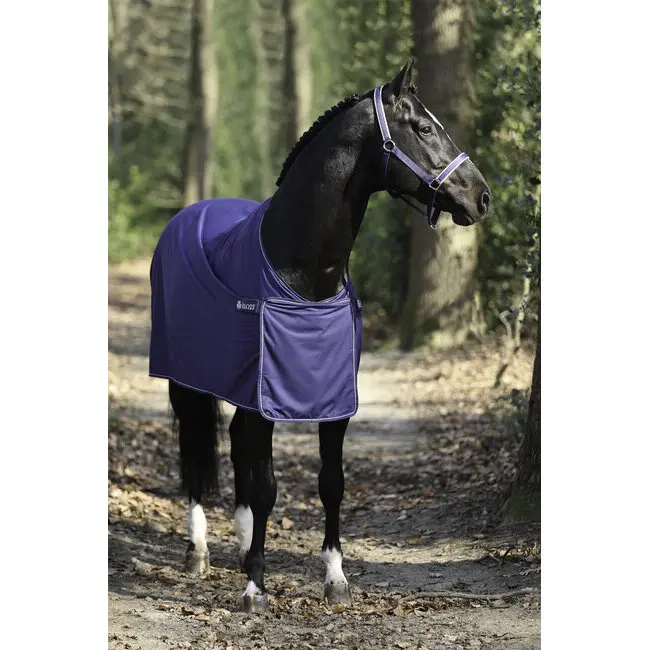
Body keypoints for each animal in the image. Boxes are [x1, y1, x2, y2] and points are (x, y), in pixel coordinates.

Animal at [149, 61, 491, 613]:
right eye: (423, 128)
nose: (482, 197)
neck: (304, 273)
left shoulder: (332, 403)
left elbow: (331, 483)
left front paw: (334, 578)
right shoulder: (266, 401)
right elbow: (267, 487)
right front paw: (256, 588)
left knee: (236, 445)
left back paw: (242, 544)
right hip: (186, 383)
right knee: (193, 455)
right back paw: (198, 550)